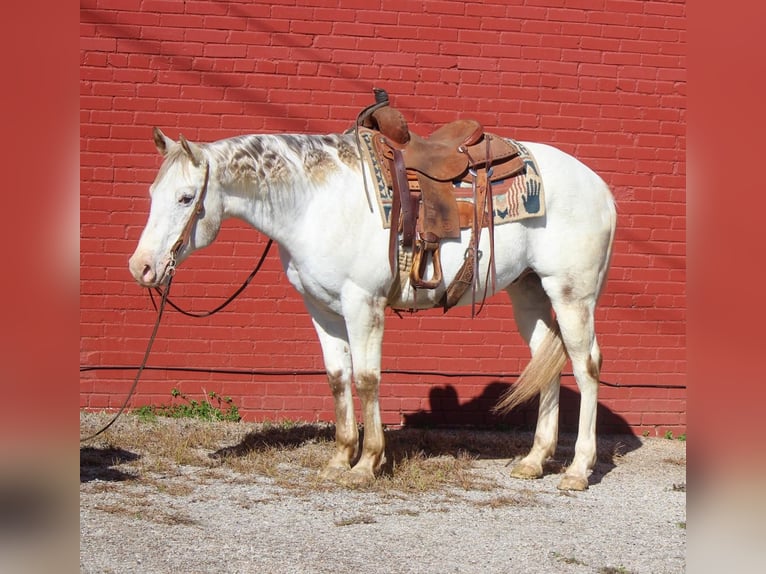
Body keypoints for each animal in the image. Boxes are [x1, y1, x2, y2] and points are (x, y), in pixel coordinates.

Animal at [127, 124, 616, 492]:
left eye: (185, 198)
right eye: (150, 193)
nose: (142, 267)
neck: (315, 204)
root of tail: (601, 189)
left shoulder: (362, 303)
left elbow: (366, 379)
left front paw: (367, 464)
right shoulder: (321, 308)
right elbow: (337, 378)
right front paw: (339, 458)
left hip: (572, 295)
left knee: (585, 365)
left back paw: (577, 470)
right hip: (529, 291)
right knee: (546, 362)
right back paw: (534, 461)